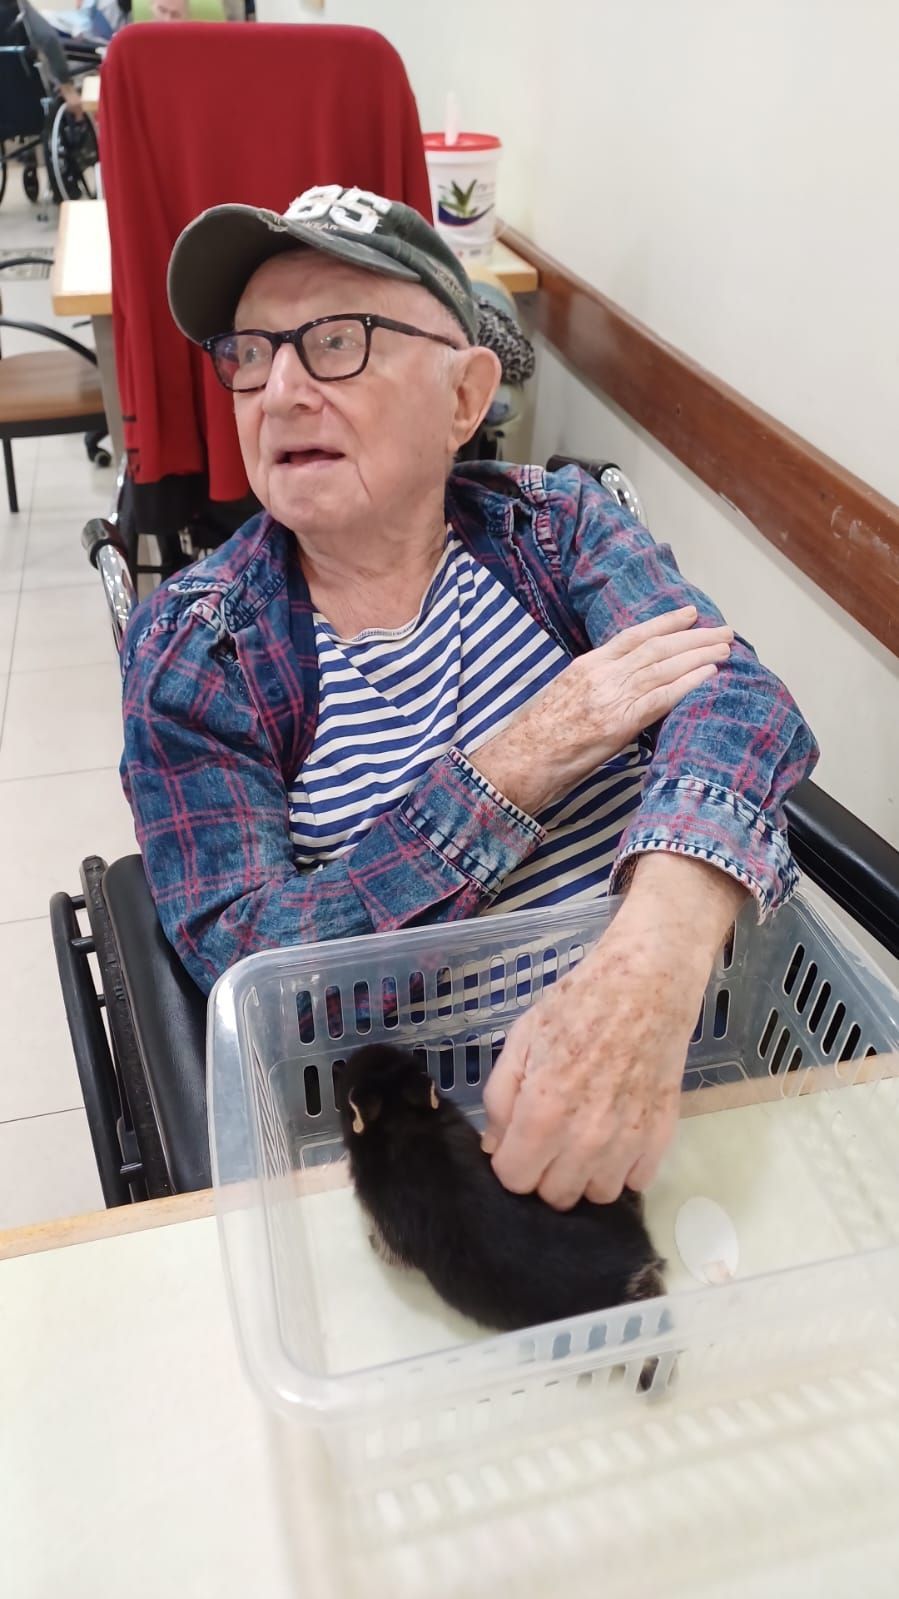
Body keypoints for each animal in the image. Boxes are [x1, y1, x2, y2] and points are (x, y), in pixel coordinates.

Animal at [338, 1043, 666, 1335]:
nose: (357, 1052)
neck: (402, 1121)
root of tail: (644, 1258)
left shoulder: (388, 1226)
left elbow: (389, 1251)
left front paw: (371, 1242)